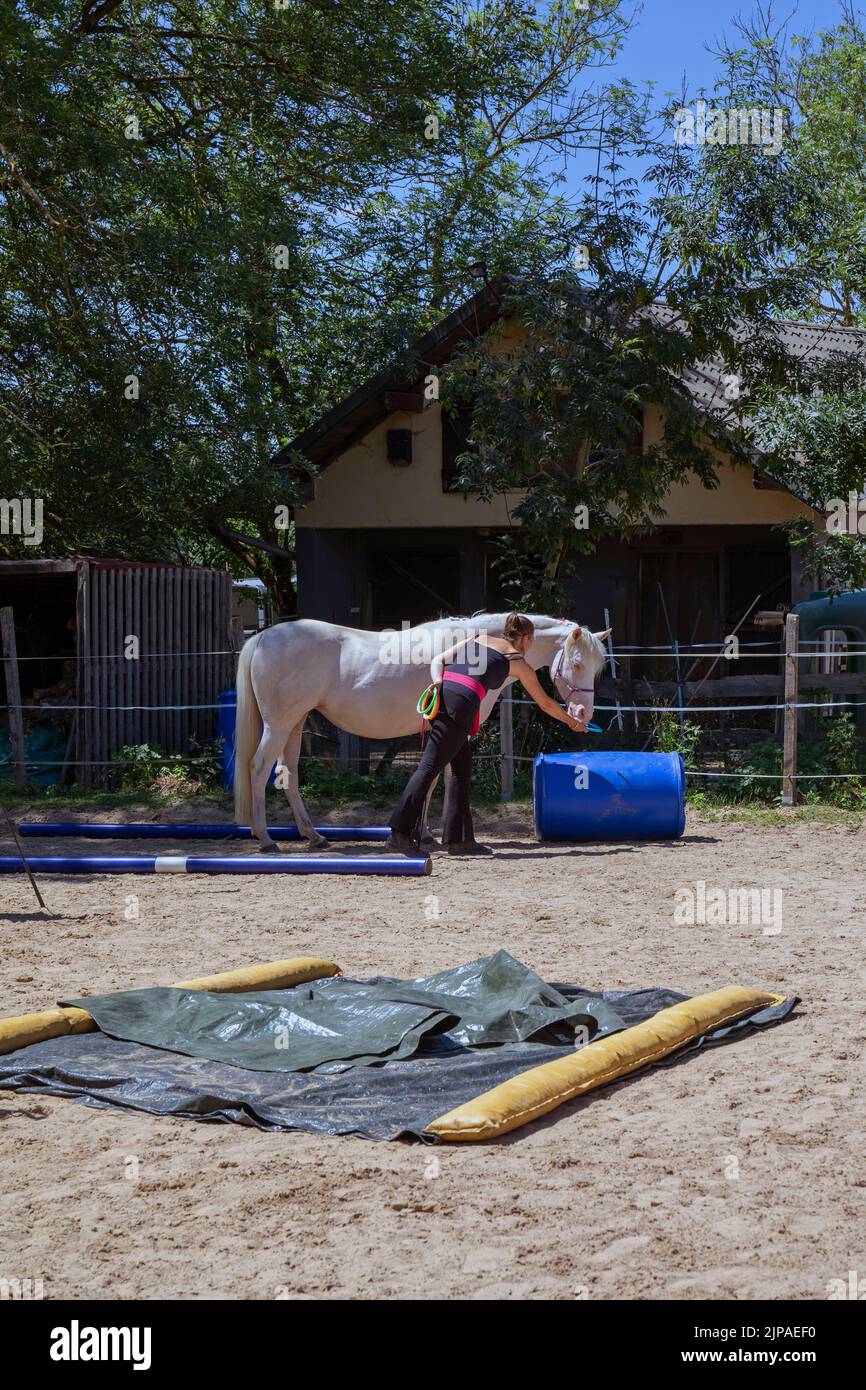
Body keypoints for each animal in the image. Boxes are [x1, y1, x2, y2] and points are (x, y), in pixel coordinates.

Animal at [233, 617, 606, 850]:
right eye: (576, 664)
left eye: (597, 668)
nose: (582, 715)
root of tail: (263, 636)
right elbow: (440, 778)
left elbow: (432, 779)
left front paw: (422, 834)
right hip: (279, 724)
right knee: (259, 768)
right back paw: (266, 839)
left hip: (295, 723)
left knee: (289, 773)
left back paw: (313, 836)